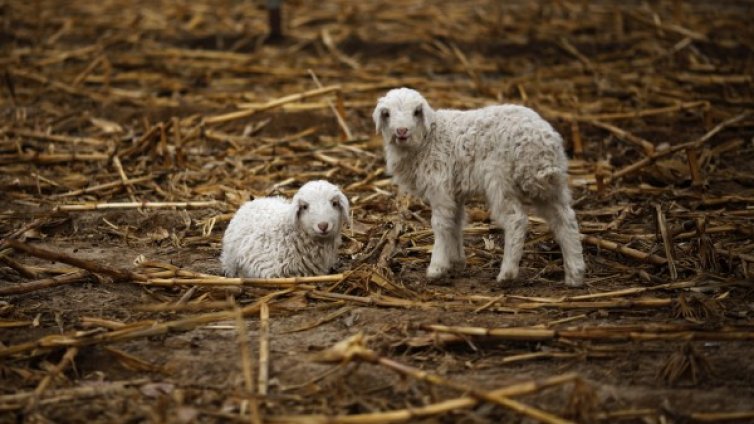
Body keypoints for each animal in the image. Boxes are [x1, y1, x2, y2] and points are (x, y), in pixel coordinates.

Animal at [374, 88, 584, 288]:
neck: (428, 138)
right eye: (387, 113)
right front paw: (457, 261)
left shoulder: (440, 186)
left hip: (501, 180)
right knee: (565, 219)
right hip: (548, 183)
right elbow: (456, 222)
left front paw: (437, 267)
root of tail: (543, 143)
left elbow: (440, 225)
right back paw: (575, 273)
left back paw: (507, 273)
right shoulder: (454, 191)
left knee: (516, 220)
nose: (401, 131)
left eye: (416, 112)